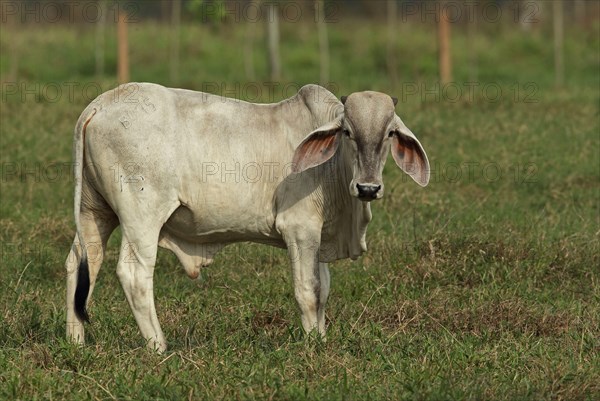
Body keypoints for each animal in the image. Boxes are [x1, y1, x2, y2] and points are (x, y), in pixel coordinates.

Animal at [65, 82, 428, 350]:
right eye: (348, 133)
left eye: (389, 134)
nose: (368, 188)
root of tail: (100, 103)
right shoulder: (300, 229)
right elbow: (308, 291)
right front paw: (313, 345)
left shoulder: (318, 235)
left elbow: (323, 289)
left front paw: (322, 339)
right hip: (142, 216)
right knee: (134, 274)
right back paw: (159, 346)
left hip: (95, 211)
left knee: (81, 263)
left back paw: (76, 342)